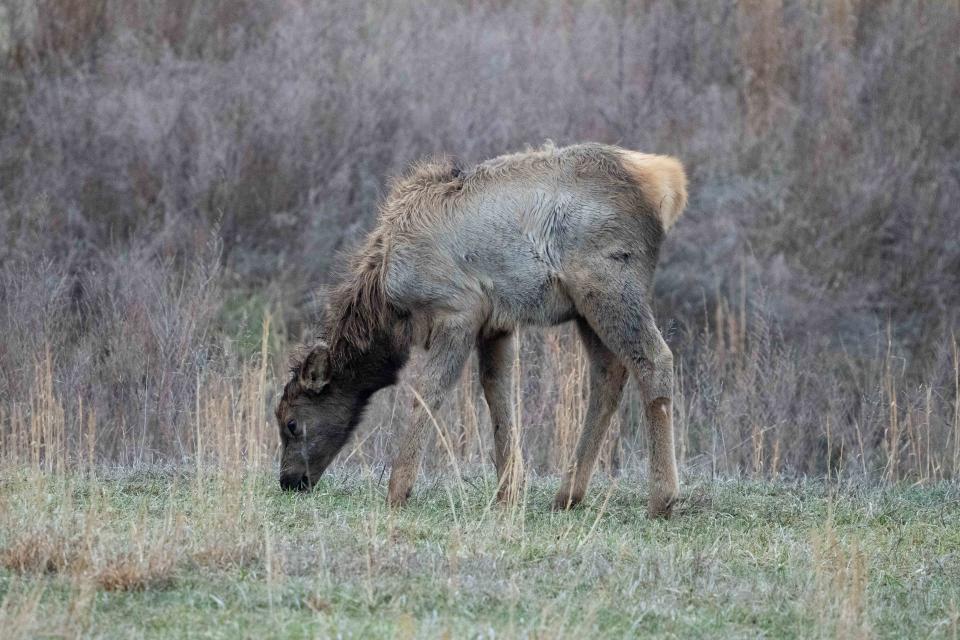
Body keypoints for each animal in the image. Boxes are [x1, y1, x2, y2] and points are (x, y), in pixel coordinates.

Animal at [274, 142, 688, 516]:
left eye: (291, 423)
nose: (289, 481)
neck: (387, 308)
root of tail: (667, 184)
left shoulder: (458, 310)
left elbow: (428, 393)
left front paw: (398, 491)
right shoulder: (496, 324)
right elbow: (497, 396)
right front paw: (508, 493)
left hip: (608, 285)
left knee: (654, 359)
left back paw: (662, 499)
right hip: (585, 307)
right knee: (609, 373)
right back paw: (568, 495)